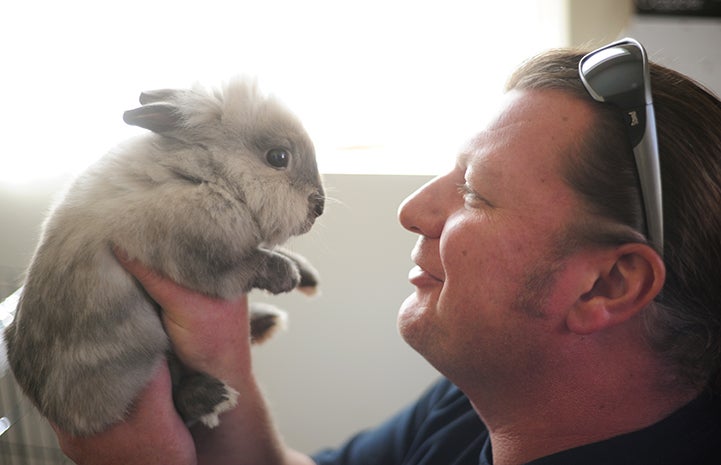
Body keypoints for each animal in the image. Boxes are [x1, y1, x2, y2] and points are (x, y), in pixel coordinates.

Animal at [2, 76, 324, 436]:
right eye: (278, 157)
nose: (320, 207)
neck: (204, 174)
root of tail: (56, 413)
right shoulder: (208, 261)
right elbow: (254, 264)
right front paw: (288, 276)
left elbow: (270, 249)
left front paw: (308, 276)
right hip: (145, 356)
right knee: (178, 395)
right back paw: (213, 396)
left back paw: (265, 322)